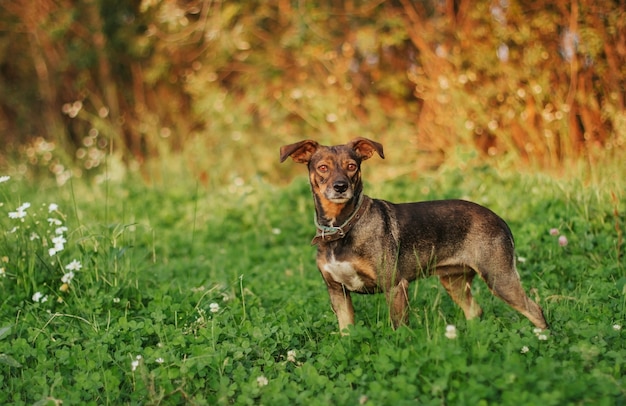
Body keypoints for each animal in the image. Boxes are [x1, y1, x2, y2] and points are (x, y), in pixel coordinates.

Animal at [280, 137, 544, 334]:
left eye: (352, 166)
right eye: (322, 167)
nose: (340, 187)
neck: (342, 228)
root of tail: (499, 218)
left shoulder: (395, 287)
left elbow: (399, 330)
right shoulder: (338, 293)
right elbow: (347, 334)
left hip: (499, 278)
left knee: (536, 311)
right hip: (454, 282)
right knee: (475, 311)